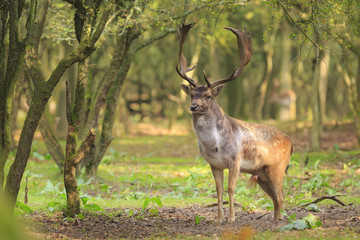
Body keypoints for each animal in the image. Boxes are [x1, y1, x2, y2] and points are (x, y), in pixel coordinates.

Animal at [176, 23, 292, 222]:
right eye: (192, 94)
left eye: (208, 95)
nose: (193, 106)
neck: (215, 146)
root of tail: (291, 143)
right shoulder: (214, 164)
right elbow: (218, 190)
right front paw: (218, 218)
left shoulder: (235, 159)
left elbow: (231, 189)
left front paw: (231, 218)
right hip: (262, 174)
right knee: (277, 197)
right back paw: (275, 219)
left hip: (278, 167)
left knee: (281, 195)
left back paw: (280, 220)